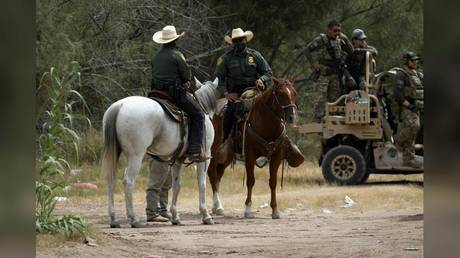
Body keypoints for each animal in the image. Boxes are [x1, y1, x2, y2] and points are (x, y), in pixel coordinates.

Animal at [102, 77, 219, 227]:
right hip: (136, 156)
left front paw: (175, 217)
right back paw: (134, 219)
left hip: (116, 153)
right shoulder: (204, 159)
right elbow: (202, 184)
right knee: (128, 181)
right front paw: (206, 216)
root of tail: (120, 105)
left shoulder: (177, 160)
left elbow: (176, 185)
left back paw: (114, 219)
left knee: (111, 179)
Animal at [208, 77, 298, 219]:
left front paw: (275, 210)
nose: (292, 116)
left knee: (218, 175)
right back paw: (219, 207)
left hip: (226, 158)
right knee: (212, 174)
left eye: (294, 93)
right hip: (213, 152)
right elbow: (250, 180)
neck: (266, 124)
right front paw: (248, 209)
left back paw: (216, 207)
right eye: (280, 94)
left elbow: (273, 182)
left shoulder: (276, 156)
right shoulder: (250, 155)